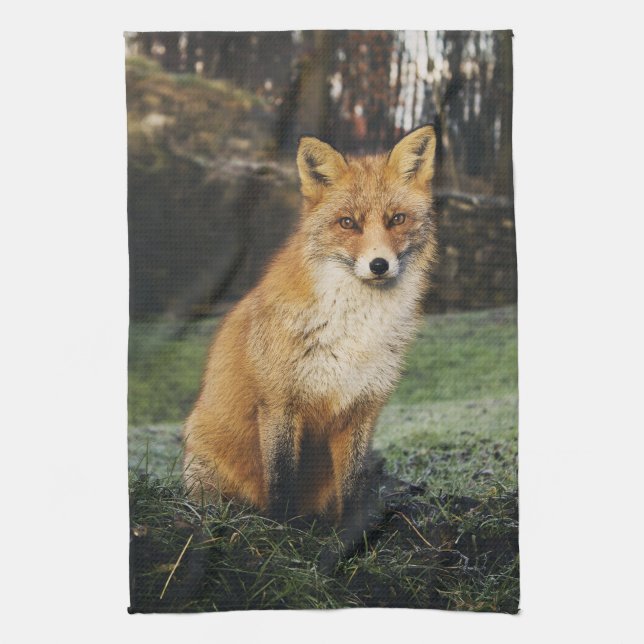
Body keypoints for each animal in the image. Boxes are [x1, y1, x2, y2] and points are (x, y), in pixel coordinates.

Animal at [183, 125, 438, 530]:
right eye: (348, 222)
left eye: (397, 219)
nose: (379, 265)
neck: (354, 330)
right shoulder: (279, 403)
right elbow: (281, 478)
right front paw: (282, 532)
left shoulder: (362, 407)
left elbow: (353, 485)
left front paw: (352, 535)